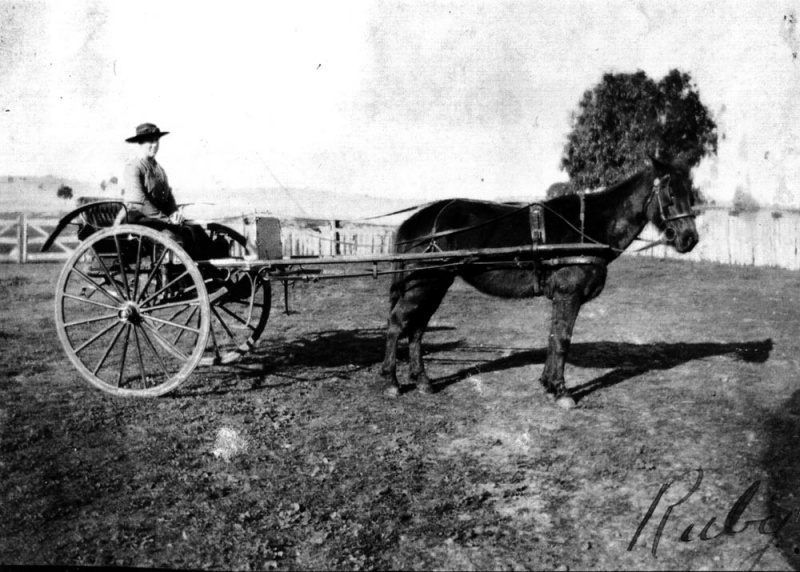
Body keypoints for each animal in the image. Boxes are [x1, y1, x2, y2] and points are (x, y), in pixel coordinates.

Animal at [378, 156, 696, 406]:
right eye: (670, 193)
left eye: (691, 193)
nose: (689, 239)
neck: (588, 225)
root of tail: (413, 222)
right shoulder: (569, 293)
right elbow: (563, 339)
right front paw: (562, 392)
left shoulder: (563, 296)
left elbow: (555, 336)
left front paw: (548, 384)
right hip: (425, 283)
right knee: (397, 323)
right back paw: (392, 382)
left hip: (434, 284)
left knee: (417, 328)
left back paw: (423, 381)